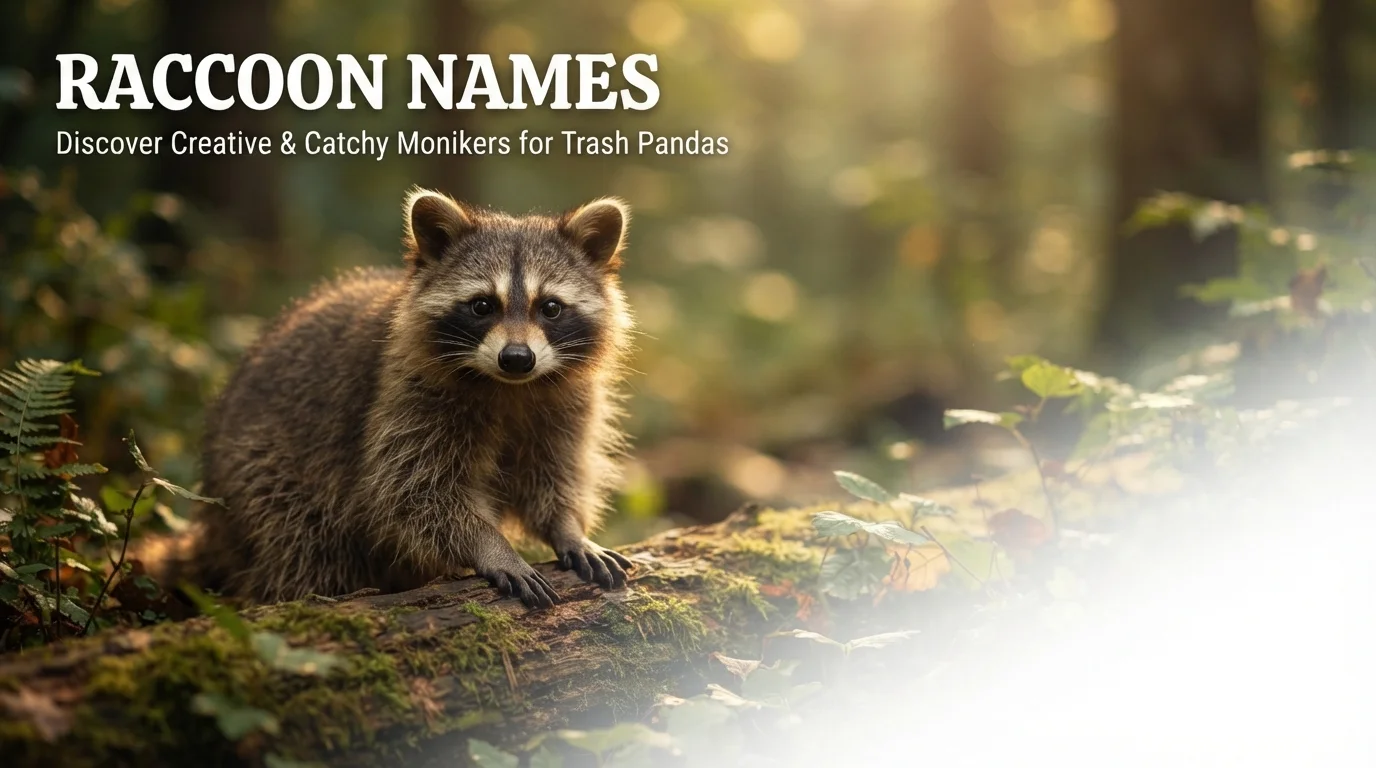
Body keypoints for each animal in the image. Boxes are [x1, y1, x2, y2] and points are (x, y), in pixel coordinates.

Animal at [192, 189, 636, 607]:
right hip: (267, 477)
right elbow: (412, 491)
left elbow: (556, 472)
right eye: (482, 305)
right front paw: (490, 544)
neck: (510, 387)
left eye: (550, 308)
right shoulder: (405, 394)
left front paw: (568, 528)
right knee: (304, 549)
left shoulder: (568, 404)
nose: (516, 358)